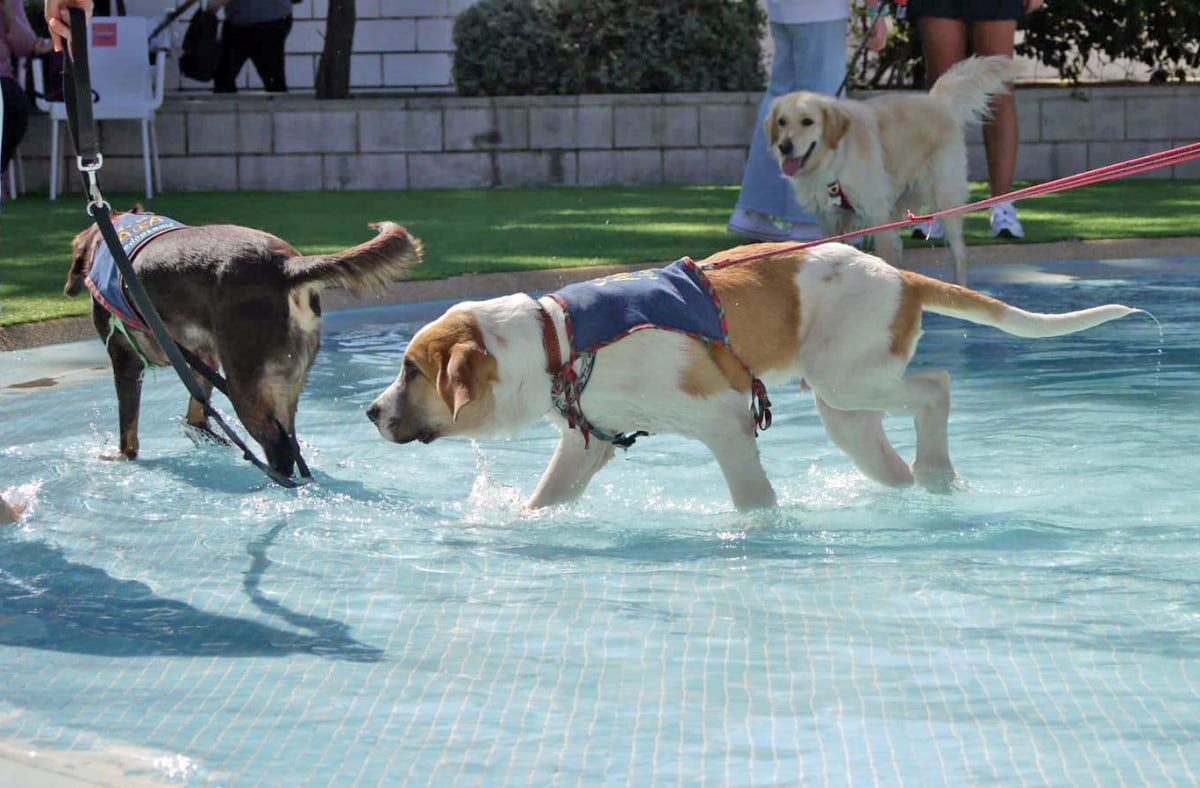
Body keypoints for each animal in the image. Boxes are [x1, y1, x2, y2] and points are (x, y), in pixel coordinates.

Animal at [66, 212, 422, 477]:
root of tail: (284, 268)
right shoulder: (203, 356)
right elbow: (197, 413)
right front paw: (203, 435)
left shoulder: (125, 359)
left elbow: (128, 430)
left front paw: (122, 457)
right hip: (284, 388)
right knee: (292, 447)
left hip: (245, 387)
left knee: (280, 454)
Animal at [369, 244, 1137, 510]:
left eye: (410, 370)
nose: (371, 413)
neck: (559, 339)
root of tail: (900, 273)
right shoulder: (588, 443)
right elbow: (547, 497)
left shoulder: (724, 420)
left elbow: (751, 499)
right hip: (845, 408)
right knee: (888, 453)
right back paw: (915, 488)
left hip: (849, 377)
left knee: (937, 386)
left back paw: (939, 472)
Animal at [768, 56, 1022, 289]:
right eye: (781, 122)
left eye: (807, 121)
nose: (784, 146)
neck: (835, 158)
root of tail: (938, 101)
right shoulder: (832, 219)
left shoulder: (876, 215)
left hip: (944, 197)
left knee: (959, 252)